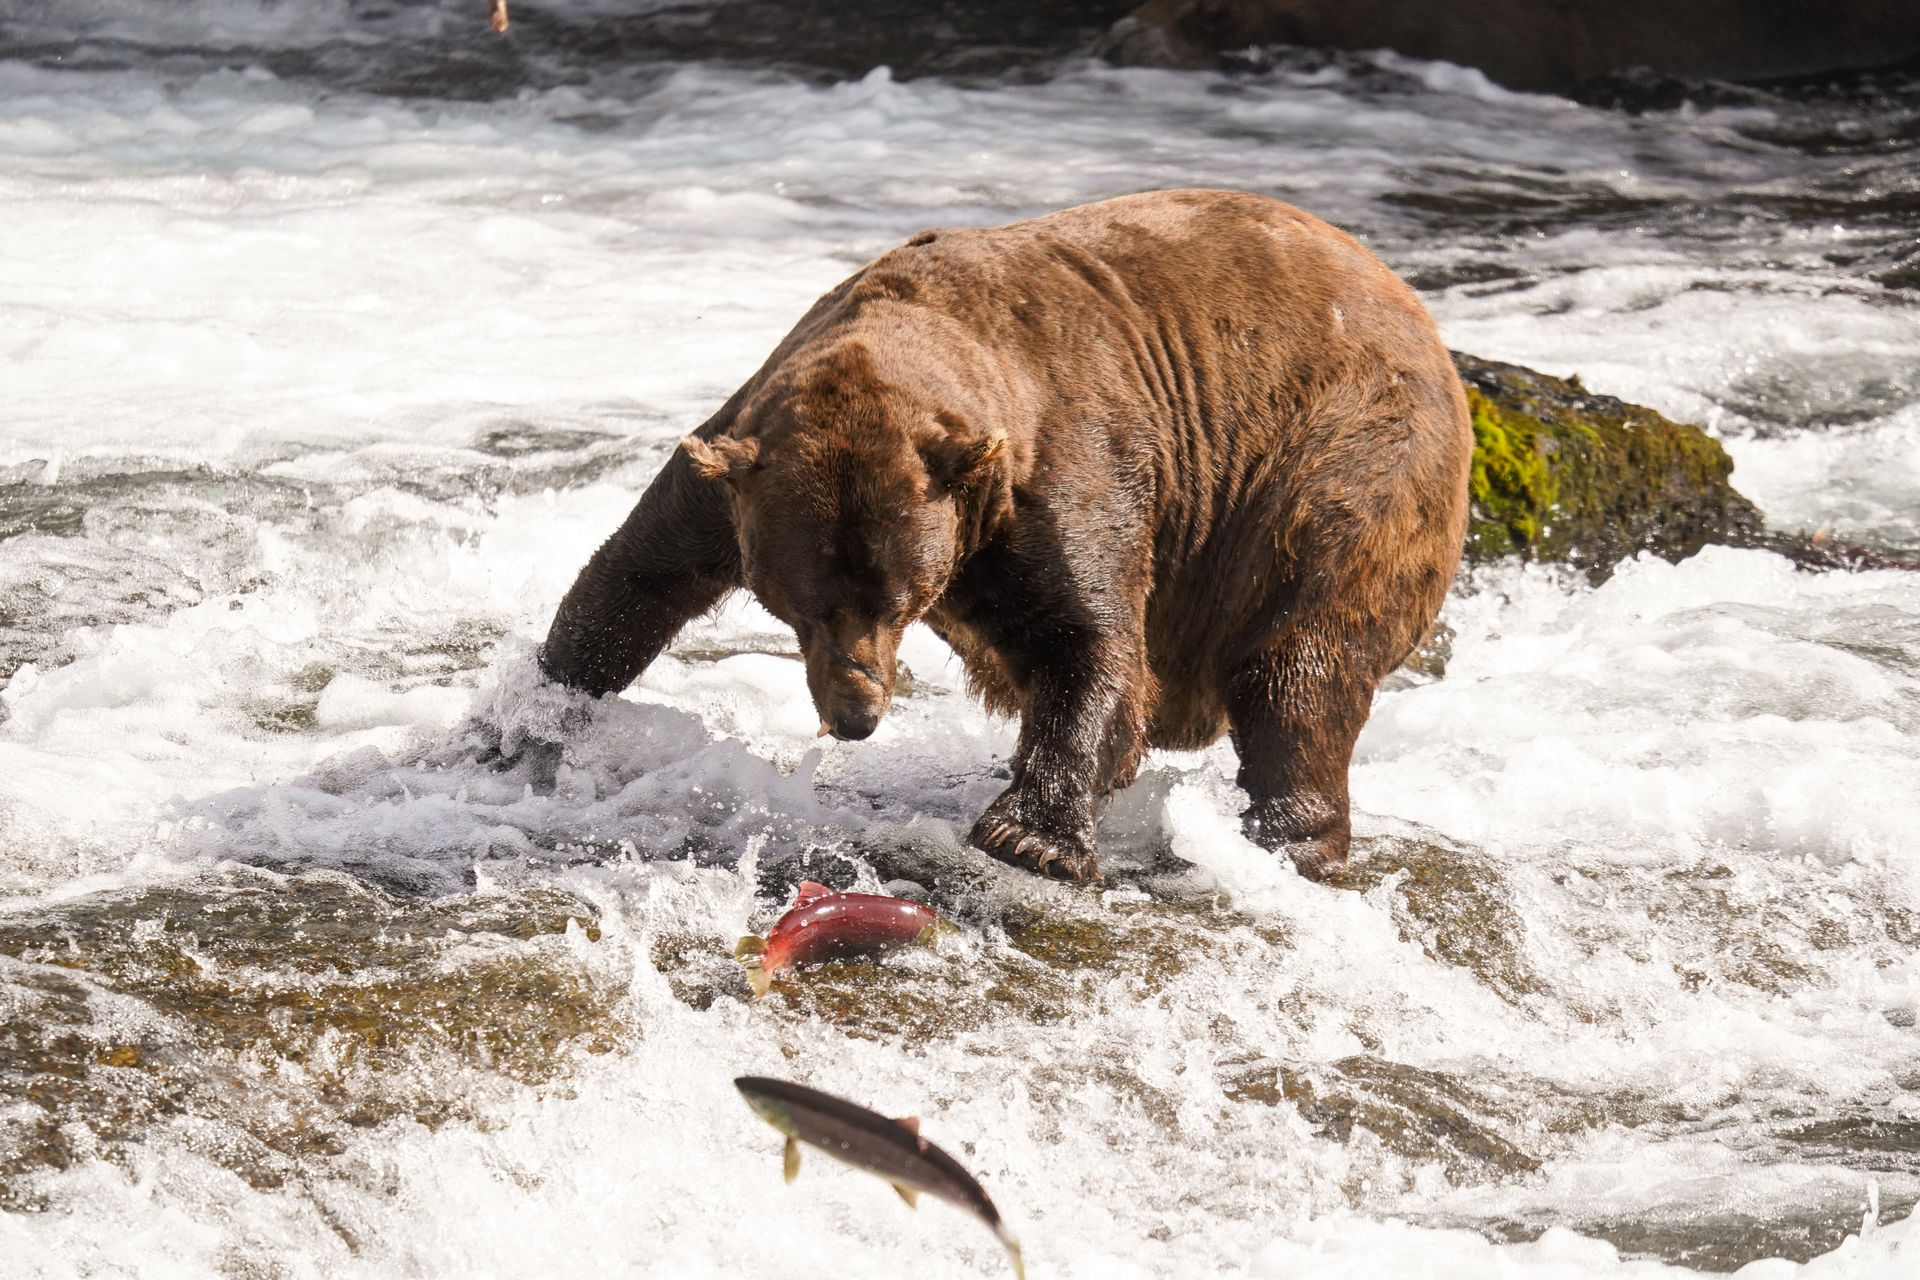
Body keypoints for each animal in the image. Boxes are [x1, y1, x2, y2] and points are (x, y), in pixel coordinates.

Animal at [538, 189, 1471, 883]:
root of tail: (1415, 308)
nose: (856, 716)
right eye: (798, 608)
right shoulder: (732, 472)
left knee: (1301, 655)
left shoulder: (1060, 471)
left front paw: (1031, 834)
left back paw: (1284, 835)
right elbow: (634, 578)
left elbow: (1092, 640)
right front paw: (536, 721)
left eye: (897, 601)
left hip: (1338, 458)